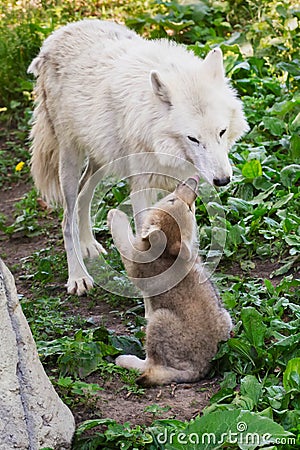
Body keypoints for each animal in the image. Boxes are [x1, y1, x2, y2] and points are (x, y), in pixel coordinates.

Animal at [28, 19, 248, 296]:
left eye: (222, 131)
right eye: (193, 139)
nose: (222, 180)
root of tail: (58, 33)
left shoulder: (183, 183)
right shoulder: (142, 187)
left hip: (101, 160)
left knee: (83, 196)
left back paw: (89, 245)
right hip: (70, 158)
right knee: (68, 219)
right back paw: (78, 276)